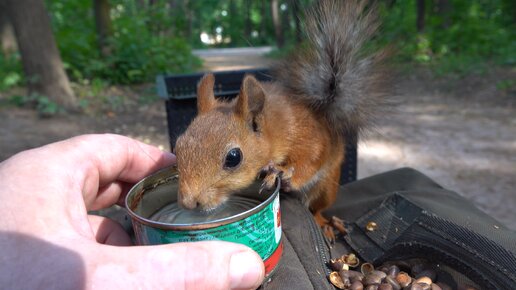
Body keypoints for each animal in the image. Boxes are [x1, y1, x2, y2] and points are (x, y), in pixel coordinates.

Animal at [175, 0, 390, 240]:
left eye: (233, 157)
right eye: (177, 146)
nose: (188, 202)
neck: (273, 128)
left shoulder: (307, 136)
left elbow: (310, 160)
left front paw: (281, 172)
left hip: (327, 187)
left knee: (317, 208)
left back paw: (325, 223)